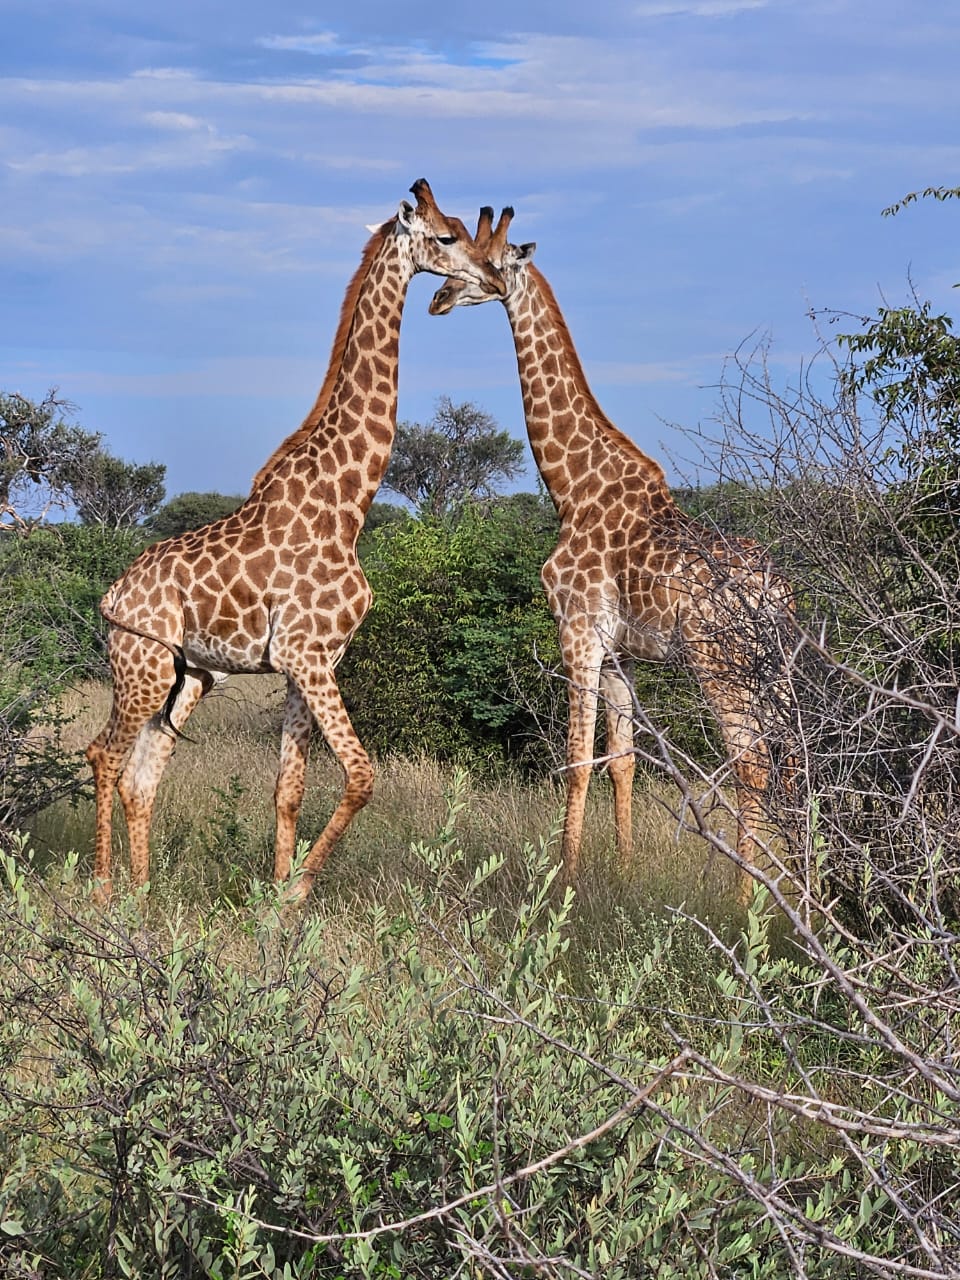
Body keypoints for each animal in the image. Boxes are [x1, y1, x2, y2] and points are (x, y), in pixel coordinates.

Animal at [85, 180, 505, 904]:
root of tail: (113, 596)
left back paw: (142, 895)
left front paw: (276, 903)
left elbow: (288, 789)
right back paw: (106, 892)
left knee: (142, 775)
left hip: (191, 675)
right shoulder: (307, 657)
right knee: (103, 756)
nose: (492, 279)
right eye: (447, 237)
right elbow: (362, 776)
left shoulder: (310, 663)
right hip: (141, 666)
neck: (346, 506)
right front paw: (297, 892)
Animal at [429, 207, 793, 900]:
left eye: (484, 262)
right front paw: (621, 876)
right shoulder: (620, 650)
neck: (571, 487)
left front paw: (561, 885)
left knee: (752, 763)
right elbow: (621, 760)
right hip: (772, 670)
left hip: (721, 665)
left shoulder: (577, 630)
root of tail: (776, 591)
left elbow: (576, 760)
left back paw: (749, 902)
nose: (437, 299)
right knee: (790, 759)